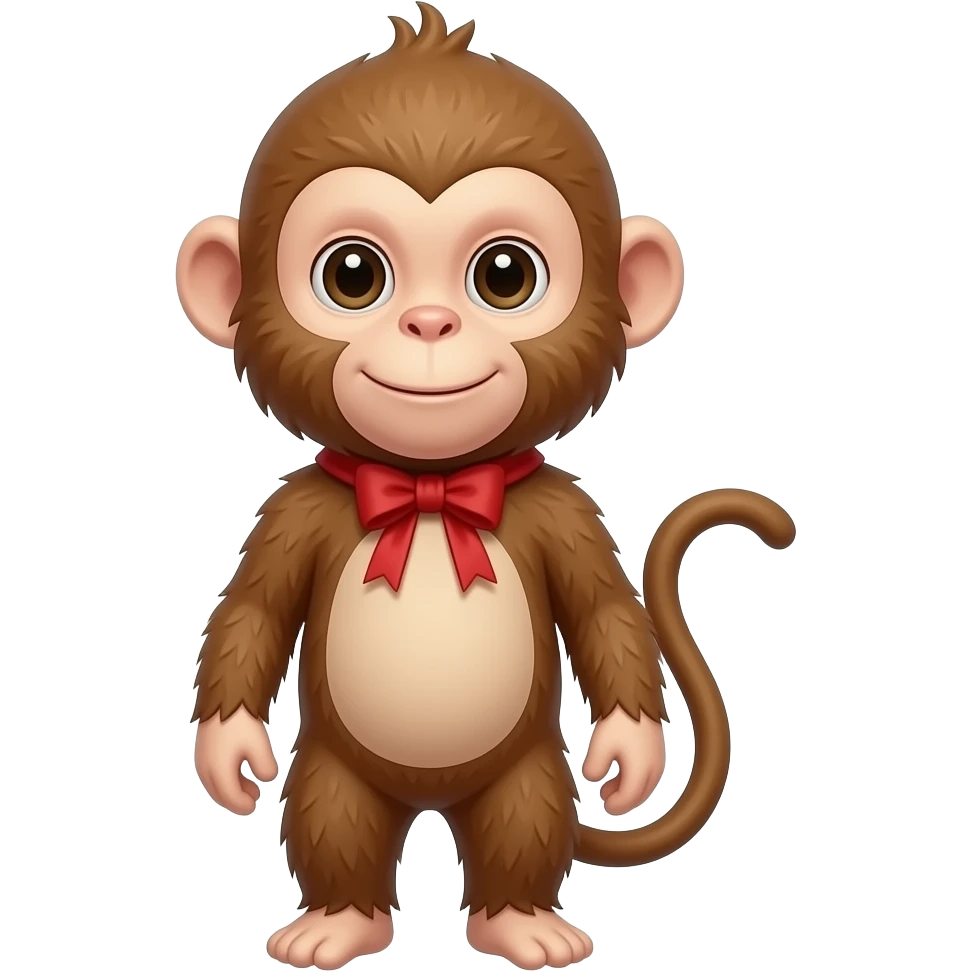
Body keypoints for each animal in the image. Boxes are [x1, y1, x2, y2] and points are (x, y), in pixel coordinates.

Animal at [177, 5, 796, 970]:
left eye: (505, 274)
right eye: (353, 274)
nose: (430, 323)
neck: (431, 487)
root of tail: (432, 796)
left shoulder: (563, 511)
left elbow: (606, 614)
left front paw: (630, 754)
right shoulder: (292, 511)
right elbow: (251, 611)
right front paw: (230, 752)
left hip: (528, 771)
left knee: (521, 825)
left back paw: (523, 923)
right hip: (334, 771)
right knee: (334, 822)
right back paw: (337, 923)